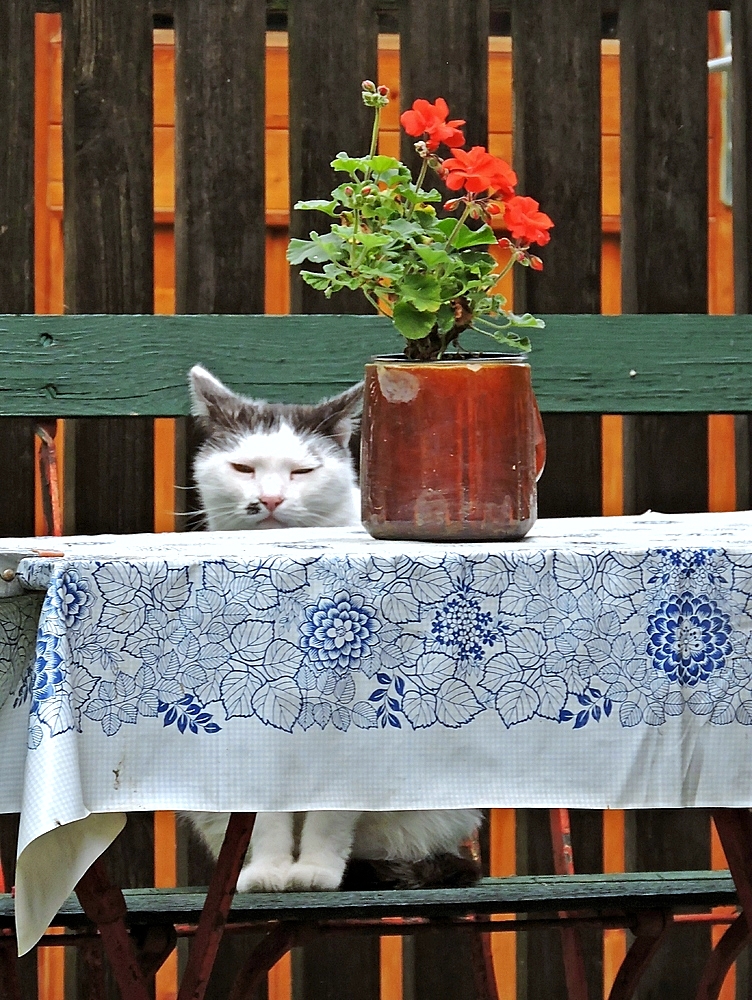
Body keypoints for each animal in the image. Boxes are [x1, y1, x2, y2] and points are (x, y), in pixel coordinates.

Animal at [182, 366, 482, 892]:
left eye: (303, 471)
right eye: (243, 469)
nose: (270, 499)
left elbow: (331, 811)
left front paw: (316, 871)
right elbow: (265, 815)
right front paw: (269, 871)